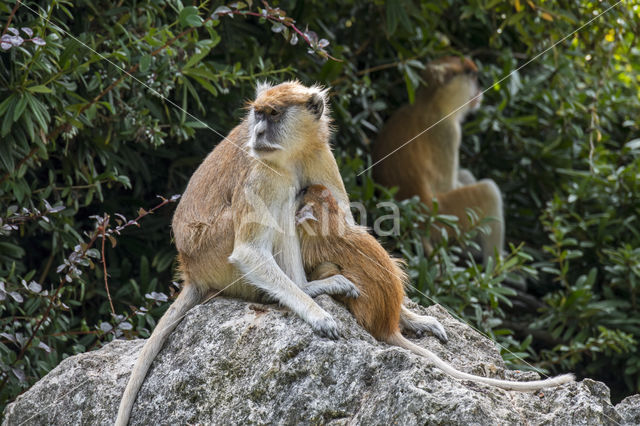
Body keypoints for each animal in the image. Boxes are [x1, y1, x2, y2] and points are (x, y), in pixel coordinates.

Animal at [115, 81, 360, 424]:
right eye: (257, 114)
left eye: (273, 114)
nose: (257, 133)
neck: (292, 152)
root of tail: (191, 271)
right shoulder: (263, 171)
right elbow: (248, 252)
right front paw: (317, 313)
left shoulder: (320, 154)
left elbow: (347, 228)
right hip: (214, 249)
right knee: (283, 201)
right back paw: (305, 288)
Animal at [296, 185, 576, 392]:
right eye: (316, 191)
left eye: (307, 193)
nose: (303, 187)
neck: (332, 221)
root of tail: (386, 324)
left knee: (331, 269)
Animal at [370, 56, 504, 262]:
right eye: (473, 77)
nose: (480, 90)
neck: (430, 103)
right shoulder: (447, 132)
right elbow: (446, 187)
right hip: (441, 219)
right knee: (488, 191)